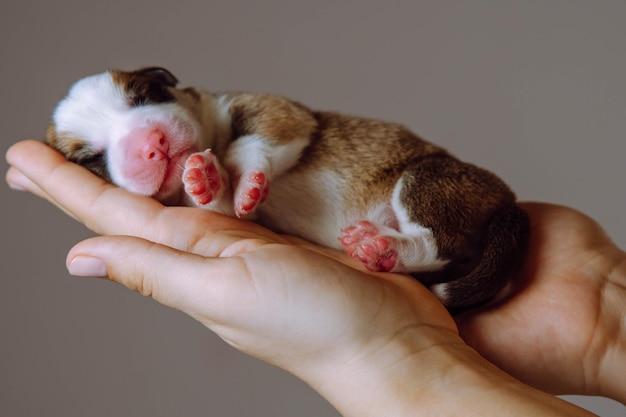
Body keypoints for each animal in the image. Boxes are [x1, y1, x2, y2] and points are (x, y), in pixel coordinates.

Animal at [45, 66, 528, 312]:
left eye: (144, 96)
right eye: (91, 158)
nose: (153, 144)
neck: (211, 131)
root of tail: (508, 204)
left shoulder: (271, 110)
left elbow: (253, 141)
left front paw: (243, 179)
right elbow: (220, 204)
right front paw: (206, 178)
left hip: (428, 180)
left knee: (435, 239)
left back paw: (385, 246)